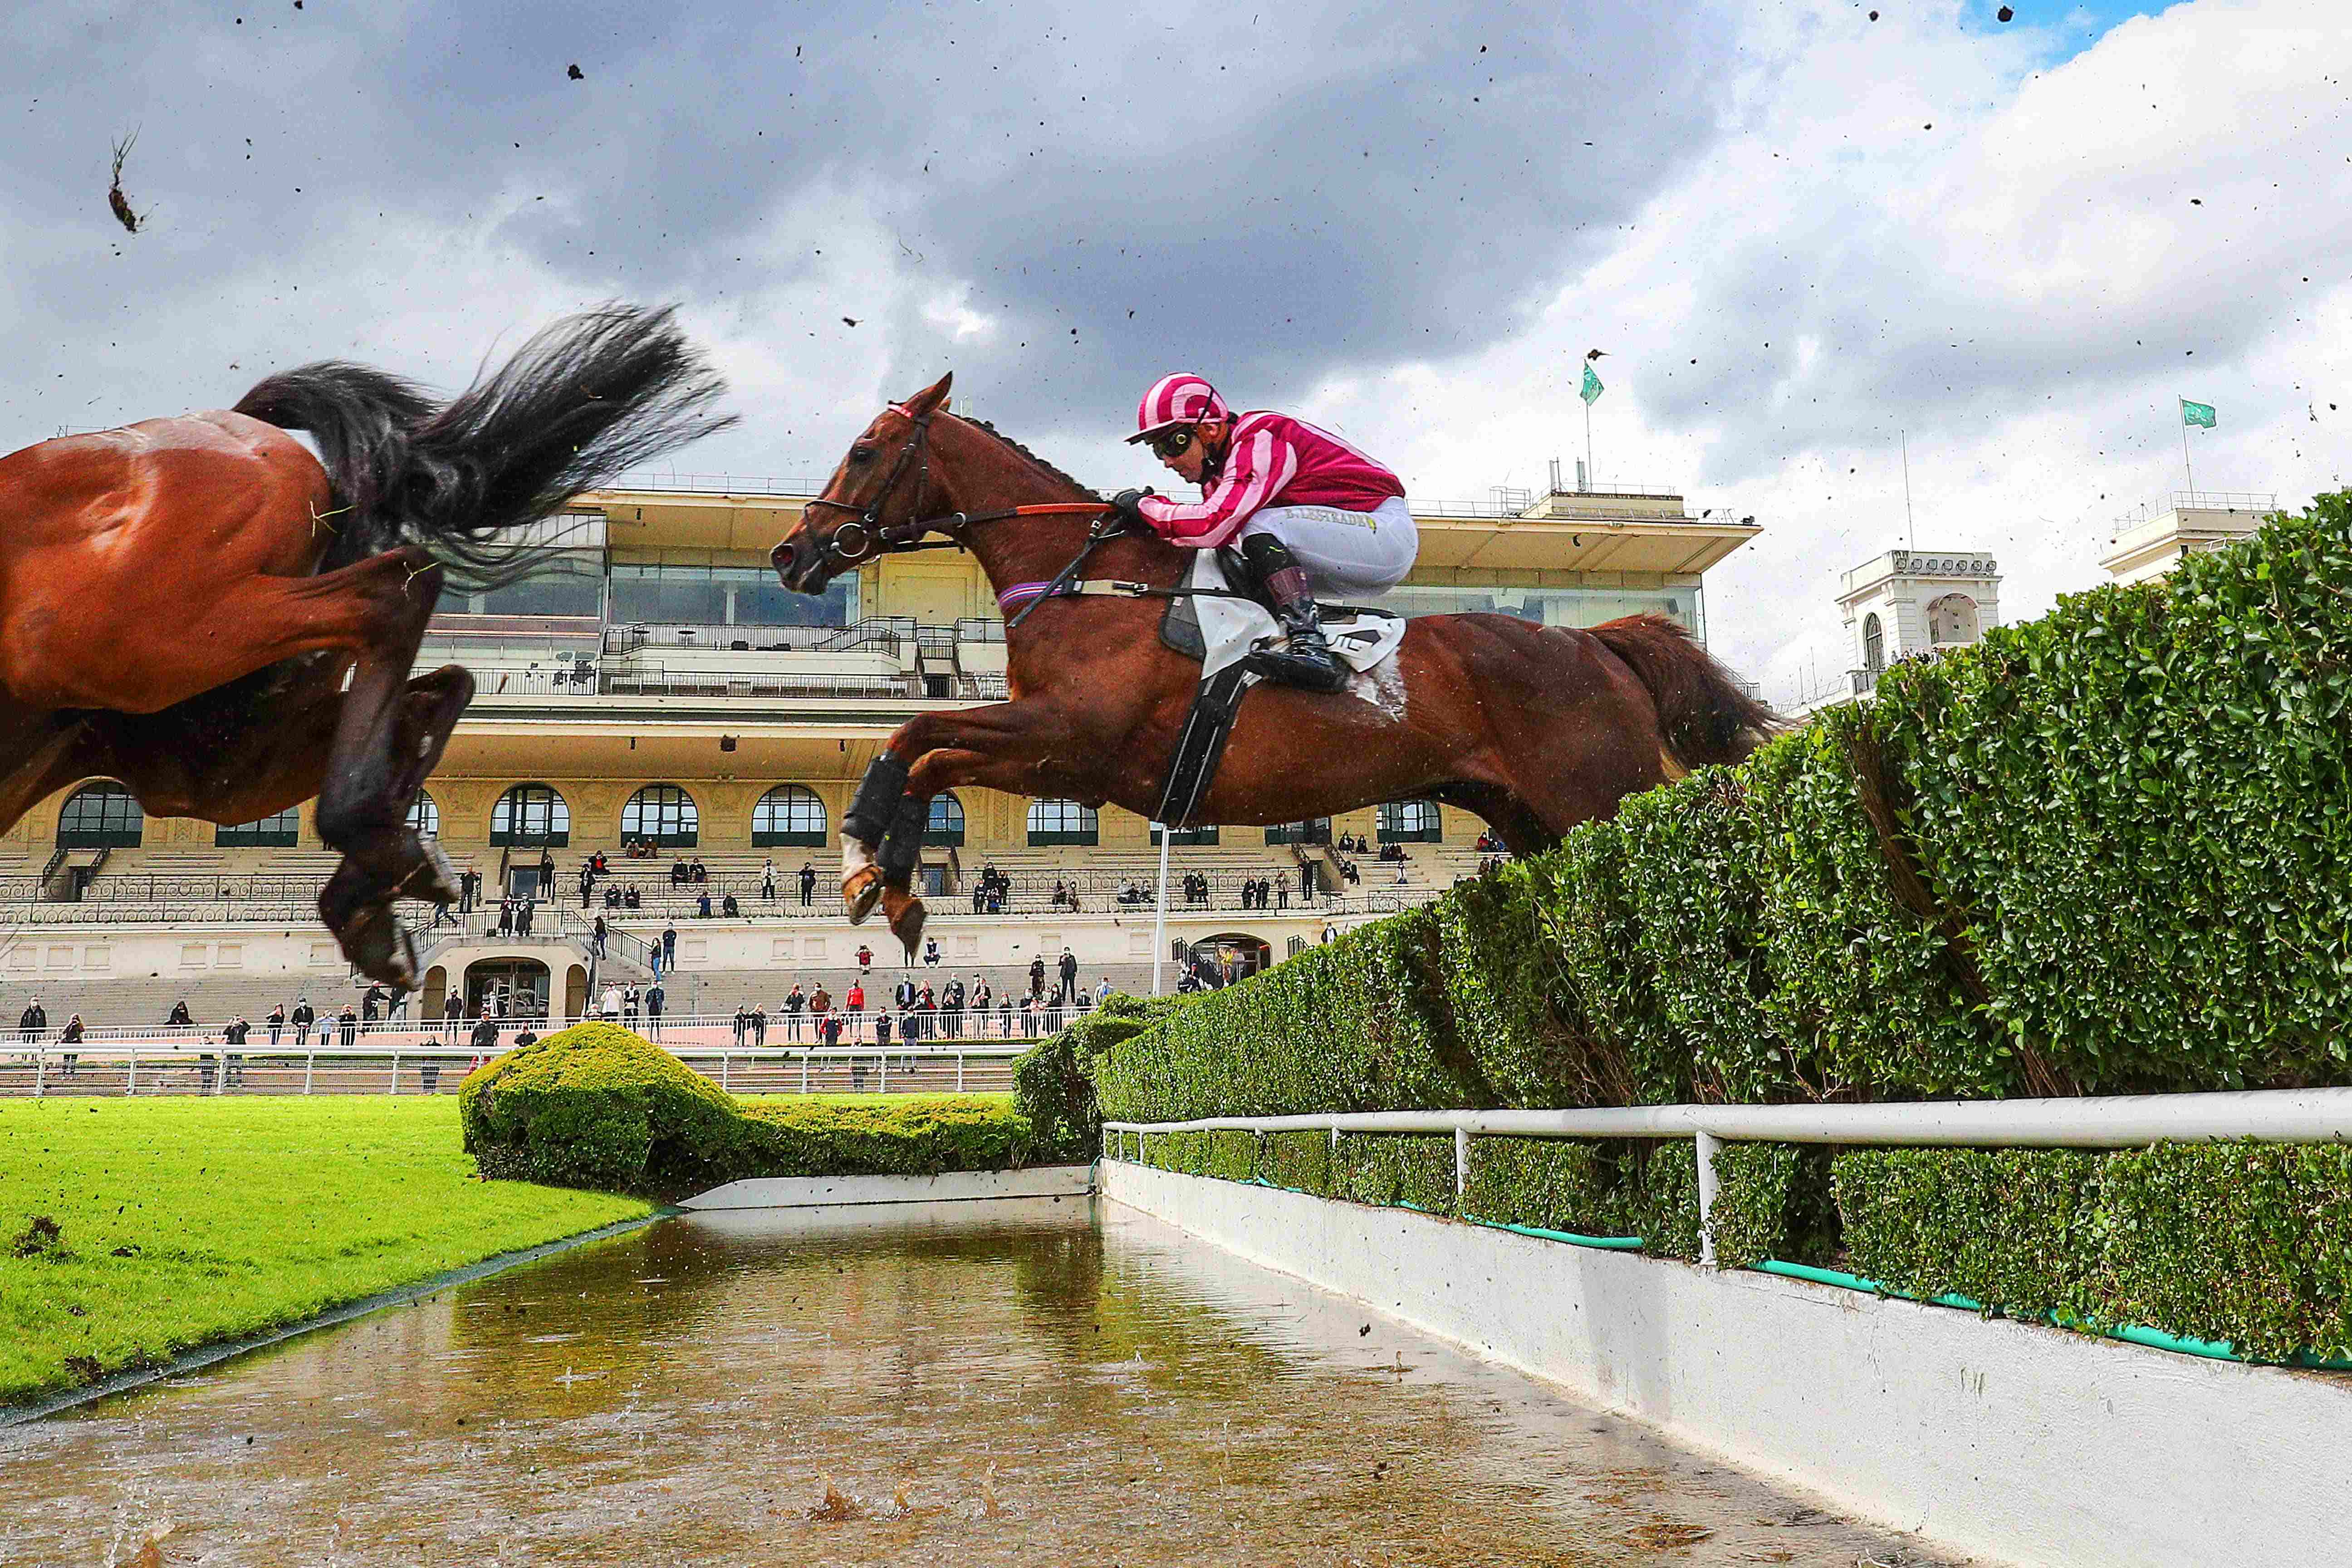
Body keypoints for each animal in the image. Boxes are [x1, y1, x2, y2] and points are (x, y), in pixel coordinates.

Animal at [0, 310, 729, 982]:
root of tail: (229, 423)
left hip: (138, 645)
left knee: (400, 598)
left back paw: (376, 872)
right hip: (189, 738)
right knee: (430, 676)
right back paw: (381, 881)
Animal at [776, 373, 1778, 950]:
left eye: (863, 451)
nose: (792, 553)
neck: (1091, 583)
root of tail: (1595, 638)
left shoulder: (1072, 743)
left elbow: (917, 738)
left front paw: (875, 872)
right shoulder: (1057, 755)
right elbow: (920, 745)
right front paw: (877, 876)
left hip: (1600, 795)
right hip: (1536, 819)